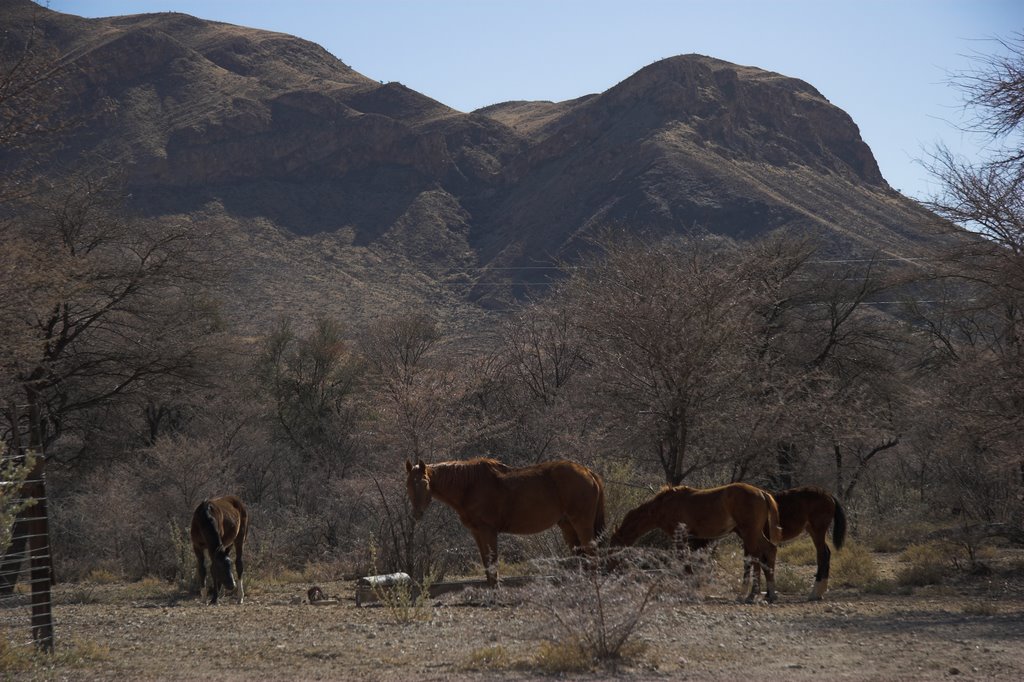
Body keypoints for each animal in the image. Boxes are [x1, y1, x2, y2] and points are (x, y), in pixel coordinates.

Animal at [403, 456, 602, 585]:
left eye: (424, 482)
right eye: (408, 484)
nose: (417, 513)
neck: (470, 486)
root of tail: (587, 471)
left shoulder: (488, 531)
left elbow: (492, 562)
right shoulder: (477, 532)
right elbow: (486, 563)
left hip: (581, 523)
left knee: (591, 551)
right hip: (567, 525)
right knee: (580, 553)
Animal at [606, 477, 782, 602]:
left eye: (614, 547)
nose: (609, 570)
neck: (663, 506)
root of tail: (762, 493)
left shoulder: (679, 537)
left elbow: (684, 561)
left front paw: (688, 588)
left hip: (749, 532)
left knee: (756, 555)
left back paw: (751, 594)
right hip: (751, 533)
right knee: (767, 550)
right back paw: (768, 594)